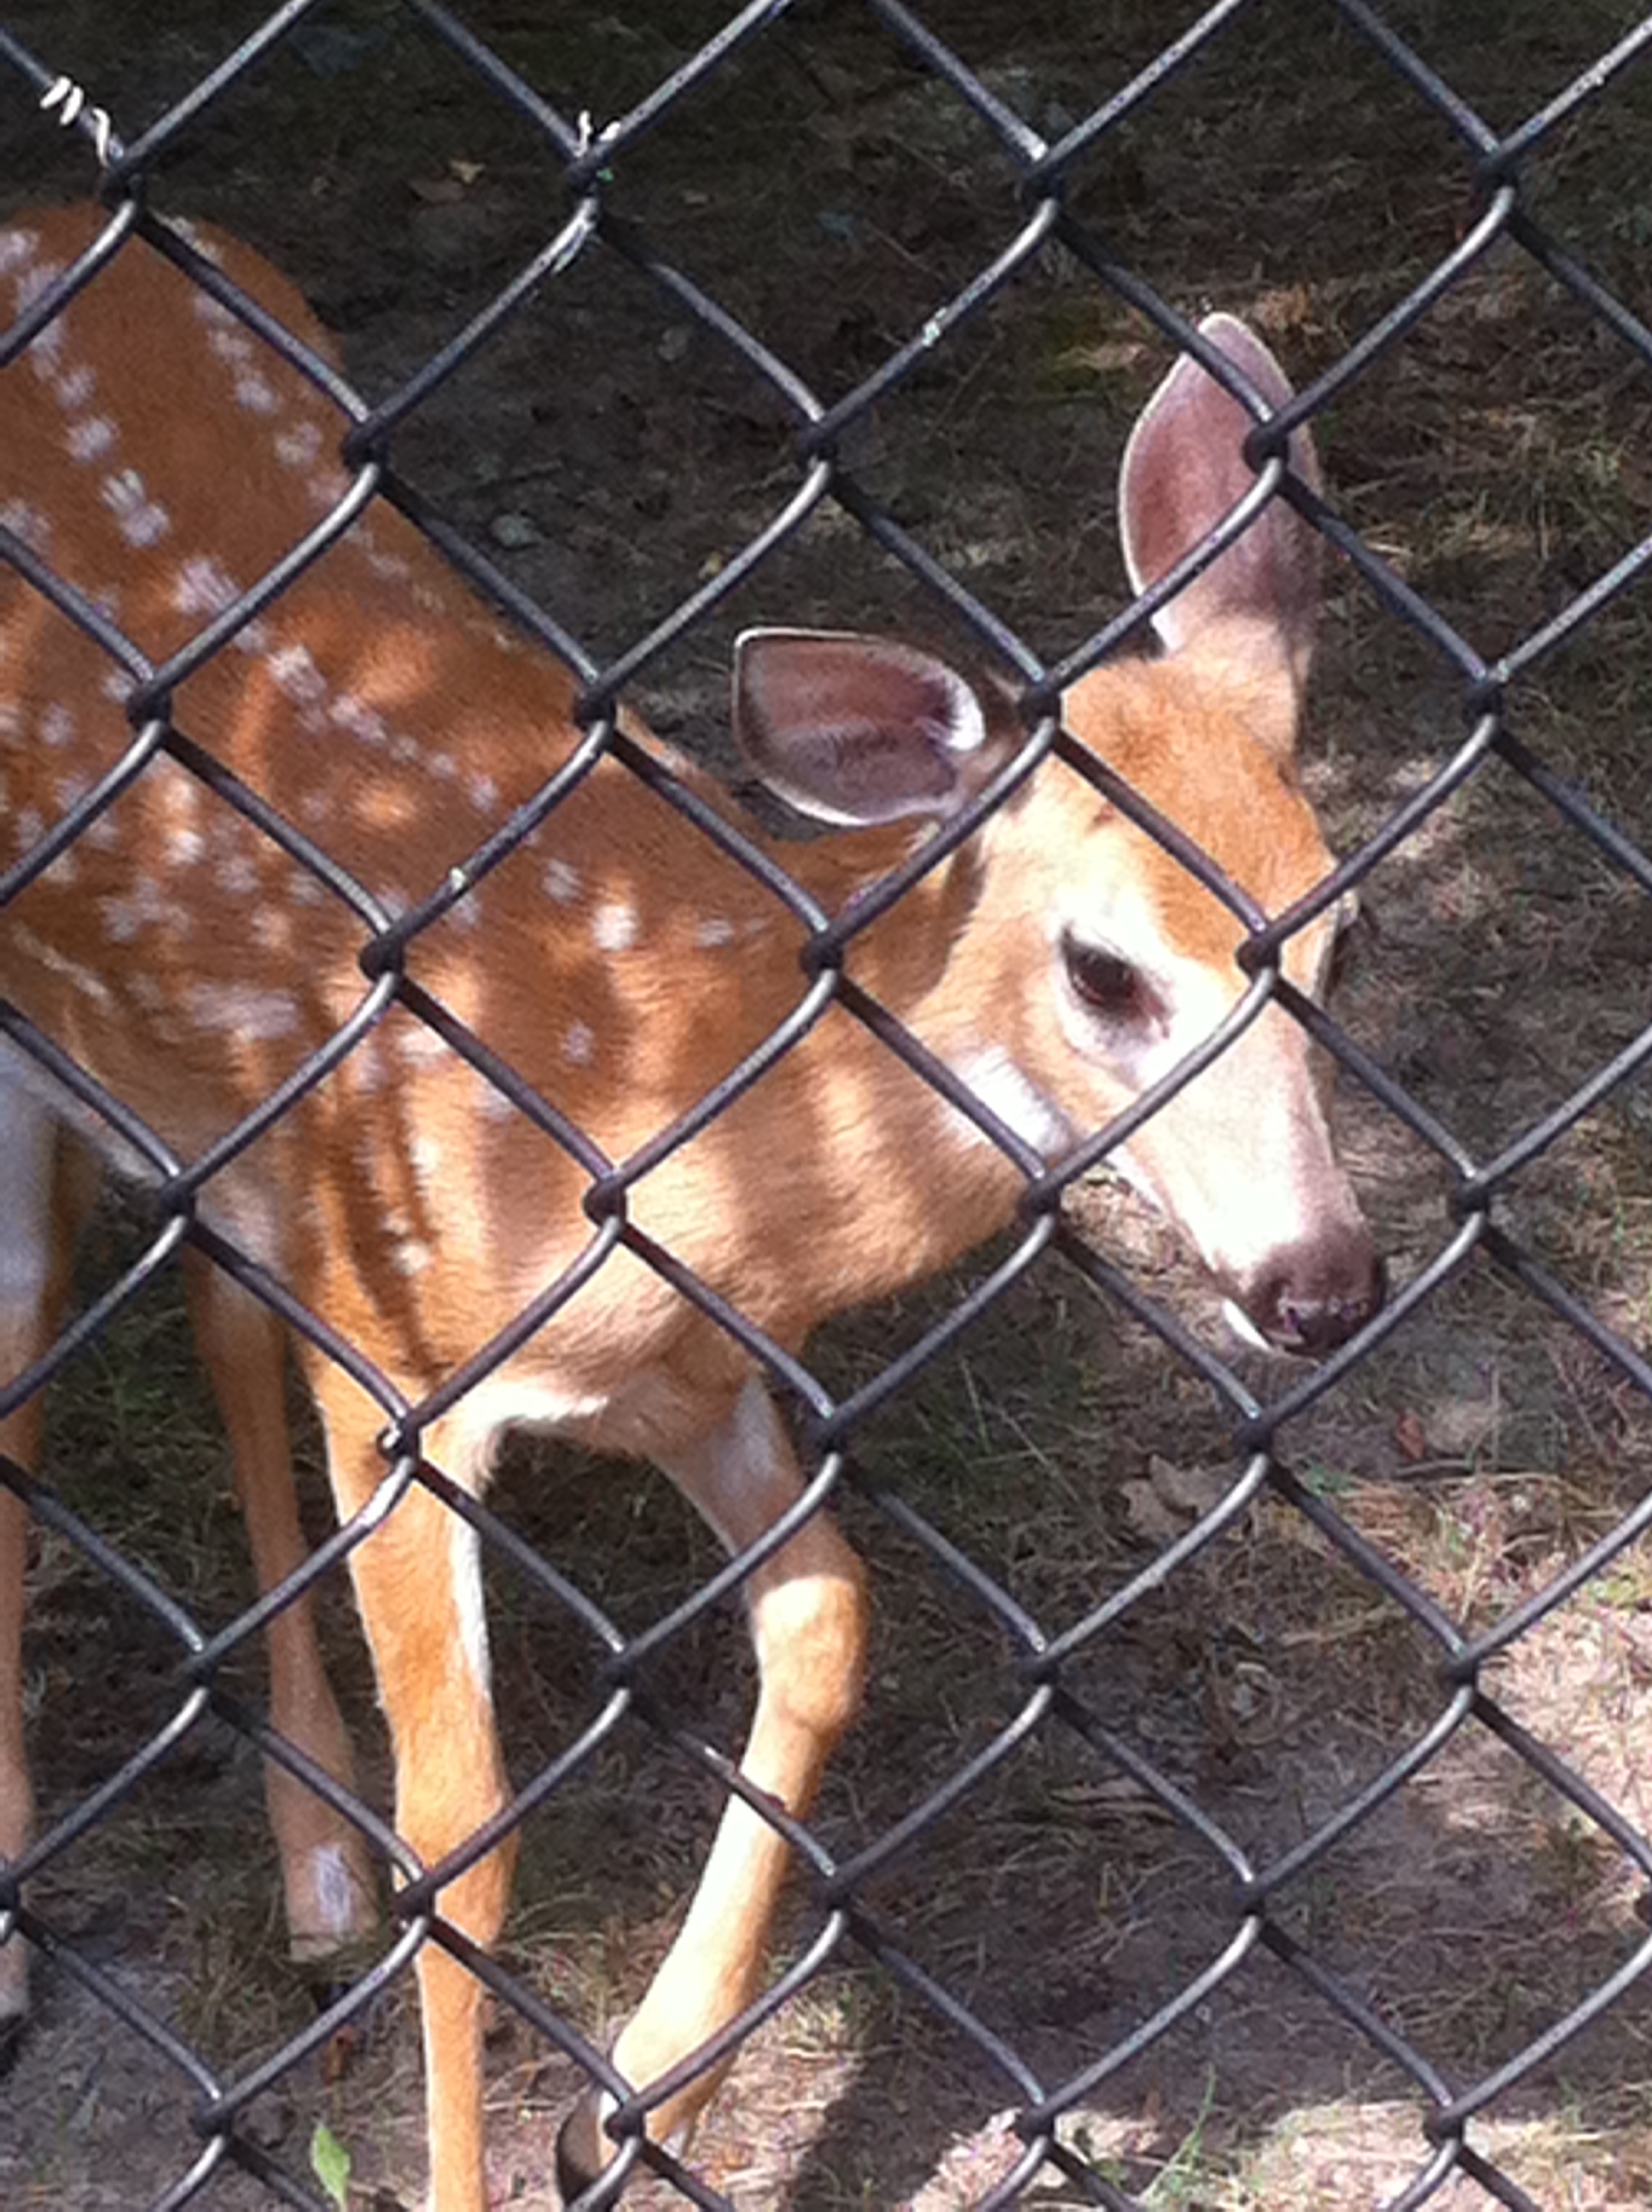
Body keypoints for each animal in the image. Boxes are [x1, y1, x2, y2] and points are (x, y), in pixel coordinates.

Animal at [0, 203, 1380, 2194]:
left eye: (1335, 934)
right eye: (1106, 970)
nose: (1318, 1282)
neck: (654, 1075)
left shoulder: (694, 1369)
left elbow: (826, 1620)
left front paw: (637, 2095)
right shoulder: (405, 1360)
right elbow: (468, 1841)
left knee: (208, 1321)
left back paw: (309, 1864)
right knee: (27, 1341)